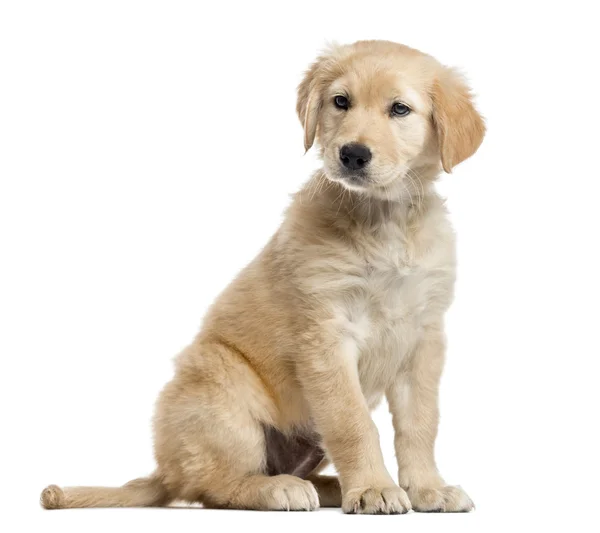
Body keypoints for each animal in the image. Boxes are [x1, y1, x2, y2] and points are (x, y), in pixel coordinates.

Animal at [41, 39, 482, 512]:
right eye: (340, 102)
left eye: (400, 109)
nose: (352, 154)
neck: (384, 219)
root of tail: (166, 470)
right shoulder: (325, 334)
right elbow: (353, 422)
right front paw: (373, 488)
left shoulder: (424, 336)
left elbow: (421, 424)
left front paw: (427, 488)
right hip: (222, 386)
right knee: (214, 487)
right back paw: (278, 488)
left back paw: (327, 486)